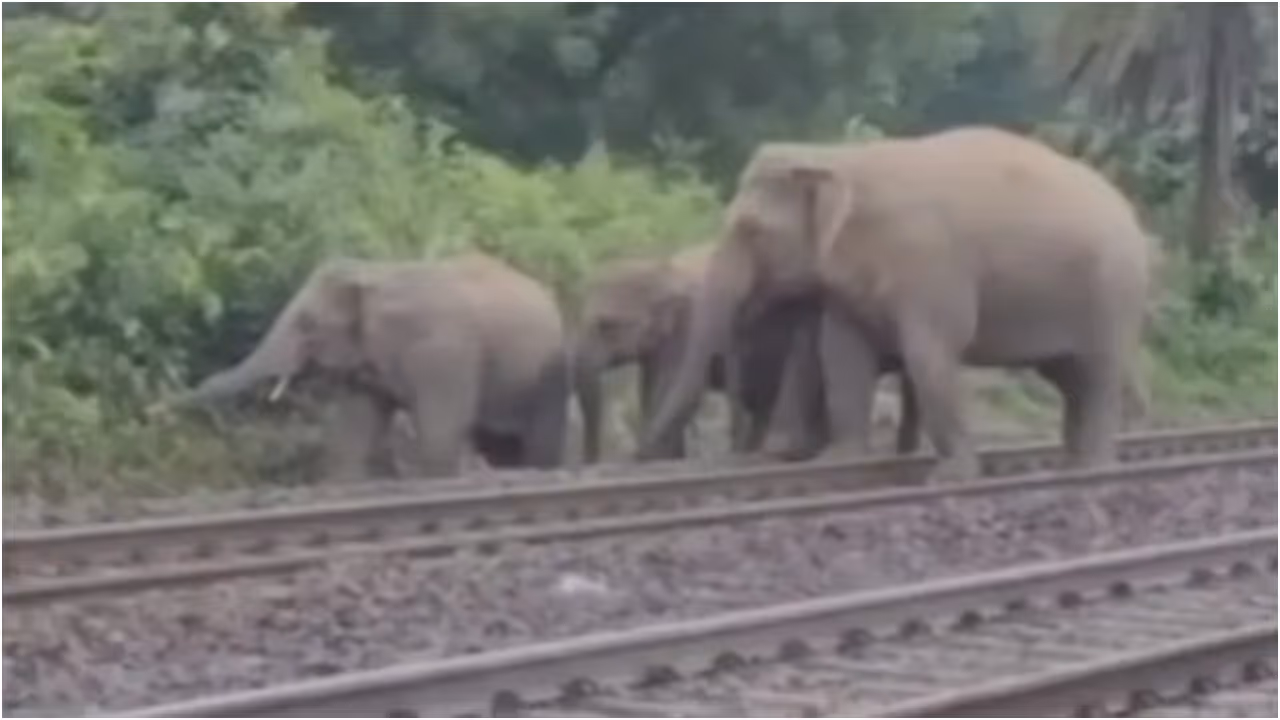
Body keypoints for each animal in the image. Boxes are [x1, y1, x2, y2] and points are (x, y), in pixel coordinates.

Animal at [164, 252, 570, 481]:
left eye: (307, 324)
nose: (158, 411)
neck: (376, 273)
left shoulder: (443, 351)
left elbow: (442, 423)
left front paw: (437, 481)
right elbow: (356, 425)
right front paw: (346, 484)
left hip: (548, 375)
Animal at [639, 127, 1153, 483]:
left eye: (751, 230)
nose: (640, 457)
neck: (836, 158)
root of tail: (1133, 216)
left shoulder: (931, 264)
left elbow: (930, 355)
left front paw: (951, 477)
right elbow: (841, 353)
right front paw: (839, 461)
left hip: (1114, 291)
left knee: (1098, 372)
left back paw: (1092, 470)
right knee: (1069, 376)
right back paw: (1072, 463)